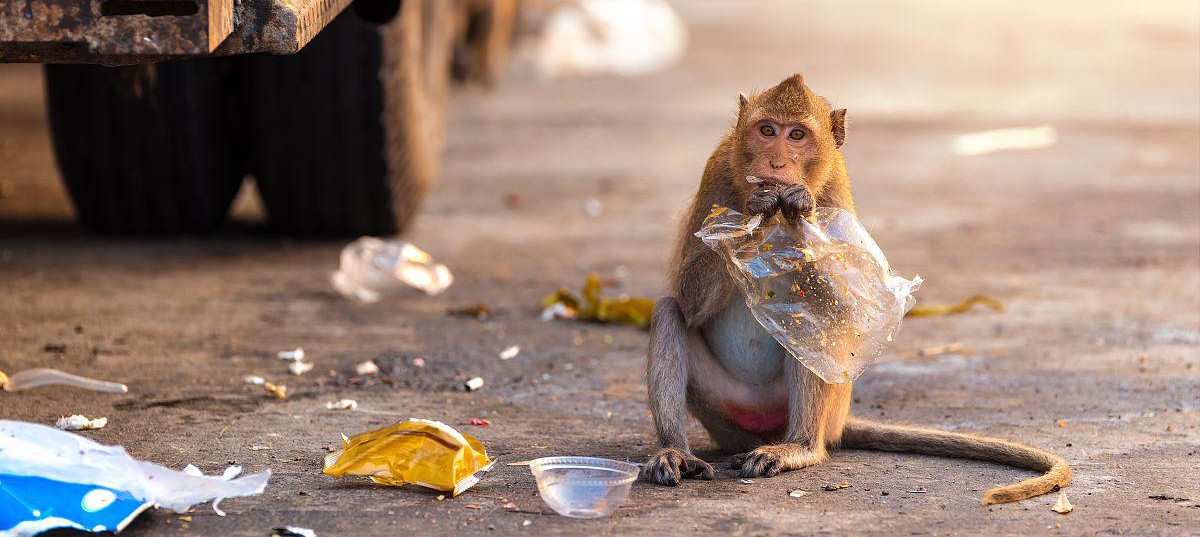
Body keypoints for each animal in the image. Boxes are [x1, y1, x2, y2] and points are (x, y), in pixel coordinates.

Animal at [643, 73, 1075, 505]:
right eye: (767, 131)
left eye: (796, 135)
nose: (776, 163)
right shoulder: (715, 170)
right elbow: (688, 300)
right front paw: (756, 206)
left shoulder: (835, 186)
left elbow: (845, 306)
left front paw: (799, 214)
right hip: (726, 414)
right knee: (669, 311)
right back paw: (675, 451)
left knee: (814, 328)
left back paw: (799, 448)